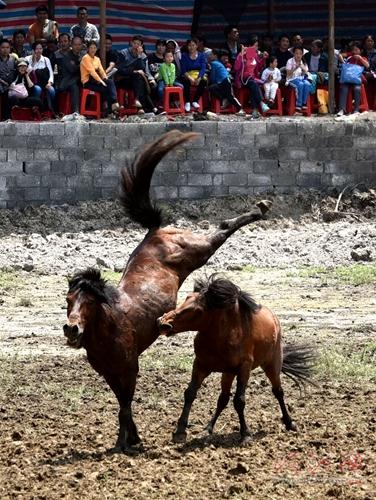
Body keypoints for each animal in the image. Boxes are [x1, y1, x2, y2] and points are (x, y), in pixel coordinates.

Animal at [63, 130, 272, 450]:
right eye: (68, 300)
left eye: (88, 303)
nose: (72, 329)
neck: (110, 325)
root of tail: (155, 232)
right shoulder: (109, 373)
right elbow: (122, 403)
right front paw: (133, 438)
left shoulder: (129, 368)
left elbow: (125, 405)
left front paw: (124, 443)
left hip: (198, 250)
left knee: (223, 228)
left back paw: (260, 208)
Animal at [157, 276, 316, 444]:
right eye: (186, 299)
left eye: (198, 310)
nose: (163, 323)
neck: (222, 336)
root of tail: (274, 318)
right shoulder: (200, 365)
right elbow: (190, 393)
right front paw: (180, 431)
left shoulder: (244, 368)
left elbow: (239, 401)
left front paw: (245, 434)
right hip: (228, 373)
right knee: (223, 398)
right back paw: (208, 429)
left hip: (271, 365)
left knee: (278, 391)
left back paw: (289, 423)